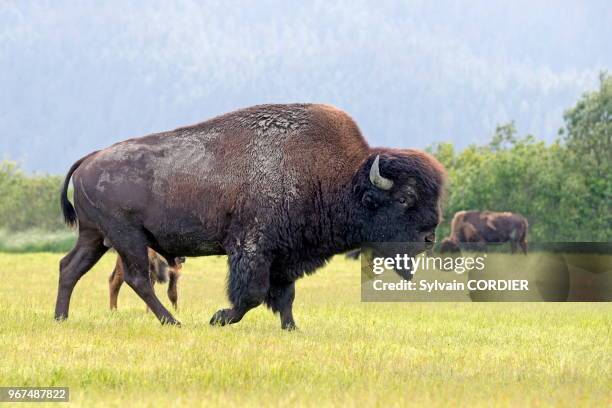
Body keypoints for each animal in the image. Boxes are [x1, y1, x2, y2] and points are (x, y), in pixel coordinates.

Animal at [55, 103, 444, 330]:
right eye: (405, 198)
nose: (430, 238)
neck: (341, 178)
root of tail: (90, 159)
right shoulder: (253, 248)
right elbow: (252, 294)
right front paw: (218, 318)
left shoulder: (285, 255)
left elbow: (285, 295)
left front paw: (292, 328)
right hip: (127, 237)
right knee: (137, 279)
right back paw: (173, 323)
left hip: (95, 236)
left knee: (70, 267)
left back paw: (61, 318)